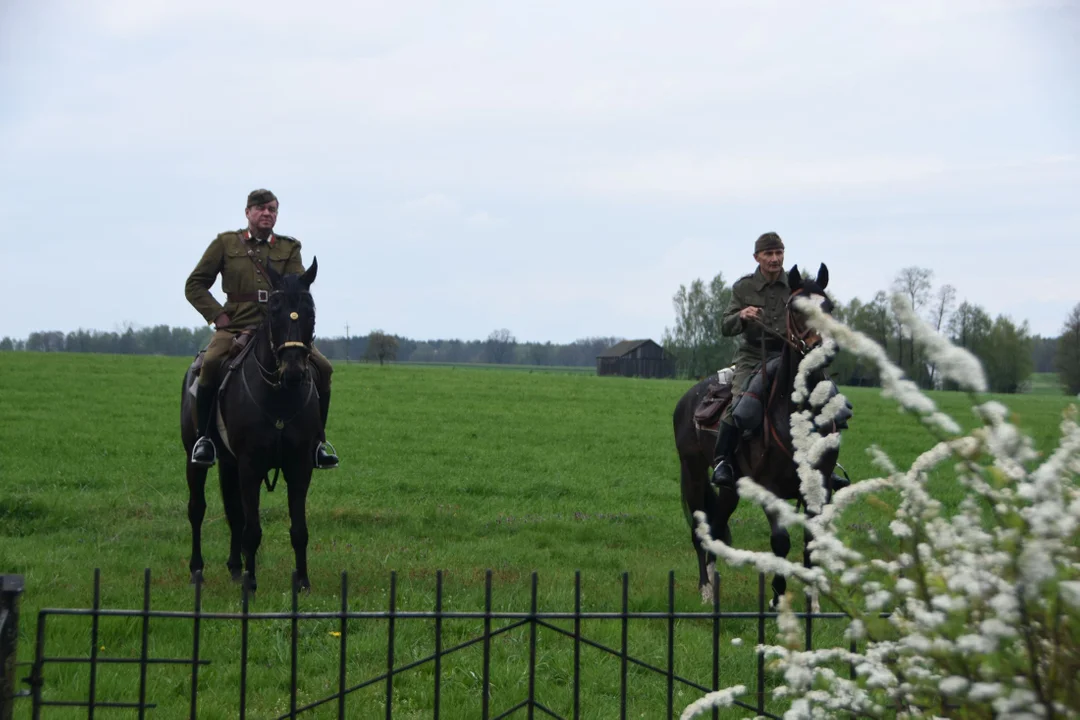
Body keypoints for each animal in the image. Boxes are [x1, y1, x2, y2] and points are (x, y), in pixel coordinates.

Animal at [181, 257, 321, 591]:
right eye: (274, 310)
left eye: (310, 312)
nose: (293, 370)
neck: (279, 394)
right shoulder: (250, 464)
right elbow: (252, 528)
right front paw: (251, 583)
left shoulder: (300, 465)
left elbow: (299, 529)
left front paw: (303, 581)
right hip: (195, 457)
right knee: (197, 509)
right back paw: (197, 570)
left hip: (228, 463)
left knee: (233, 511)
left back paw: (234, 567)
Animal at [673, 264, 842, 608]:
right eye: (796, 308)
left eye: (829, 306)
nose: (823, 349)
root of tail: (687, 399)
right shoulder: (770, 488)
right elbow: (780, 541)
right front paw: (777, 598)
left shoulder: (818, 487)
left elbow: (811, 541)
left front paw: (813, 602)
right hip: (693, 473)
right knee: (700, 529)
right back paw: (706, 590)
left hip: (731, 486)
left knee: (716, 525)